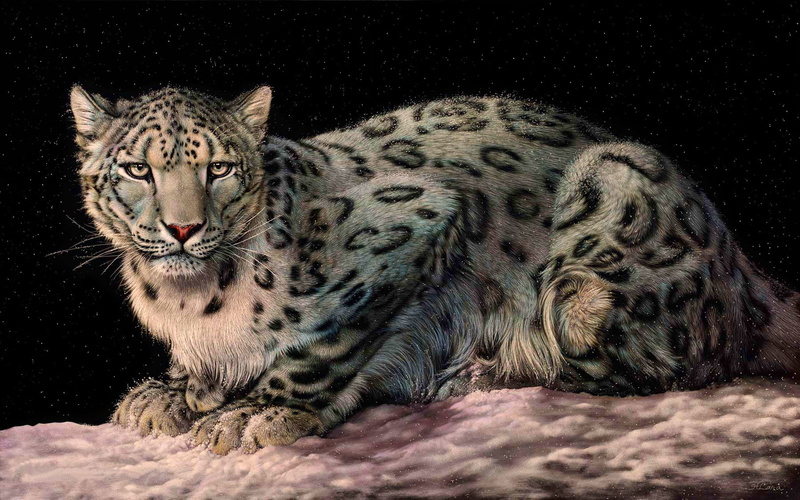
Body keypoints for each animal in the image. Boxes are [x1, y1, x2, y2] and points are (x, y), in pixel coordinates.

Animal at [69, 85, 800, 455]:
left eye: (219, 168)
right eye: (137, 169)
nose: (183, 228)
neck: (187, 299)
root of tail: (740, 259)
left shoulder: (415, 223)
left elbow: (327, 343)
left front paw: (257, 412)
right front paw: (170, 393)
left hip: (600, 243)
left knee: (662, 362)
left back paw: (485, 370)